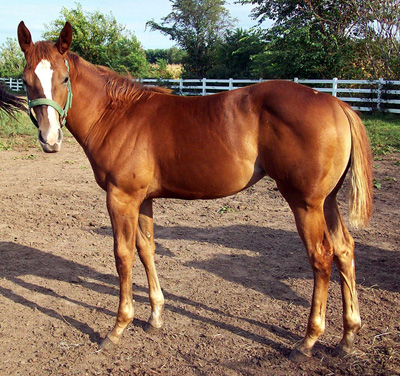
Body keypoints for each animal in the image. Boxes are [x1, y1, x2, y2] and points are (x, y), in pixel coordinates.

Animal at [15, 21, 372, 362]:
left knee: (321, 257)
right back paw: (347, 336)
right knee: (345, 250)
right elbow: (147, 250)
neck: (117, 116)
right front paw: (155, 317)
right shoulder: (143, 200)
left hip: (305, 204)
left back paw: (308, 341)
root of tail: (335, 102)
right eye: (26, 80)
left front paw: (117, 328)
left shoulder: (121, 198)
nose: (49, 139)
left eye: (64, 78)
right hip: (327, 202)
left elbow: (123, 255)